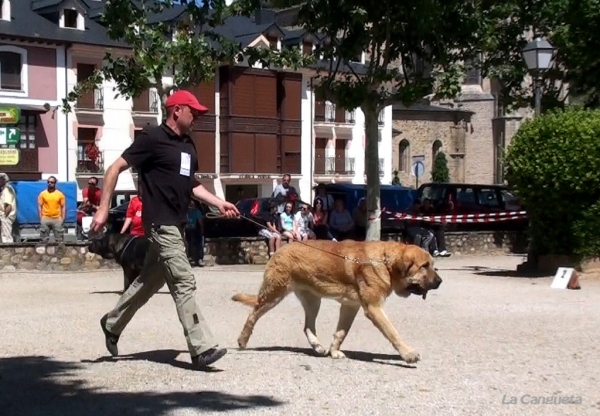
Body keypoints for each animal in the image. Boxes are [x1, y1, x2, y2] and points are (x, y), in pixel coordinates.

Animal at [232, 239, 442, 362]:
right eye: (424, 266)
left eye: (432, 265)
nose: (440, 282)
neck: (385, 261)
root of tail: (280, 249)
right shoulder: (374, 308)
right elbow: (393, 333)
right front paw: (408, 354)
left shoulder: (350, 307)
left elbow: (341, 333)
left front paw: (334, 351)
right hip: (274, 294)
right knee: (253, 313)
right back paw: (243, 339)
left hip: (313, 301)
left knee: (307, 326)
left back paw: (318, 347)